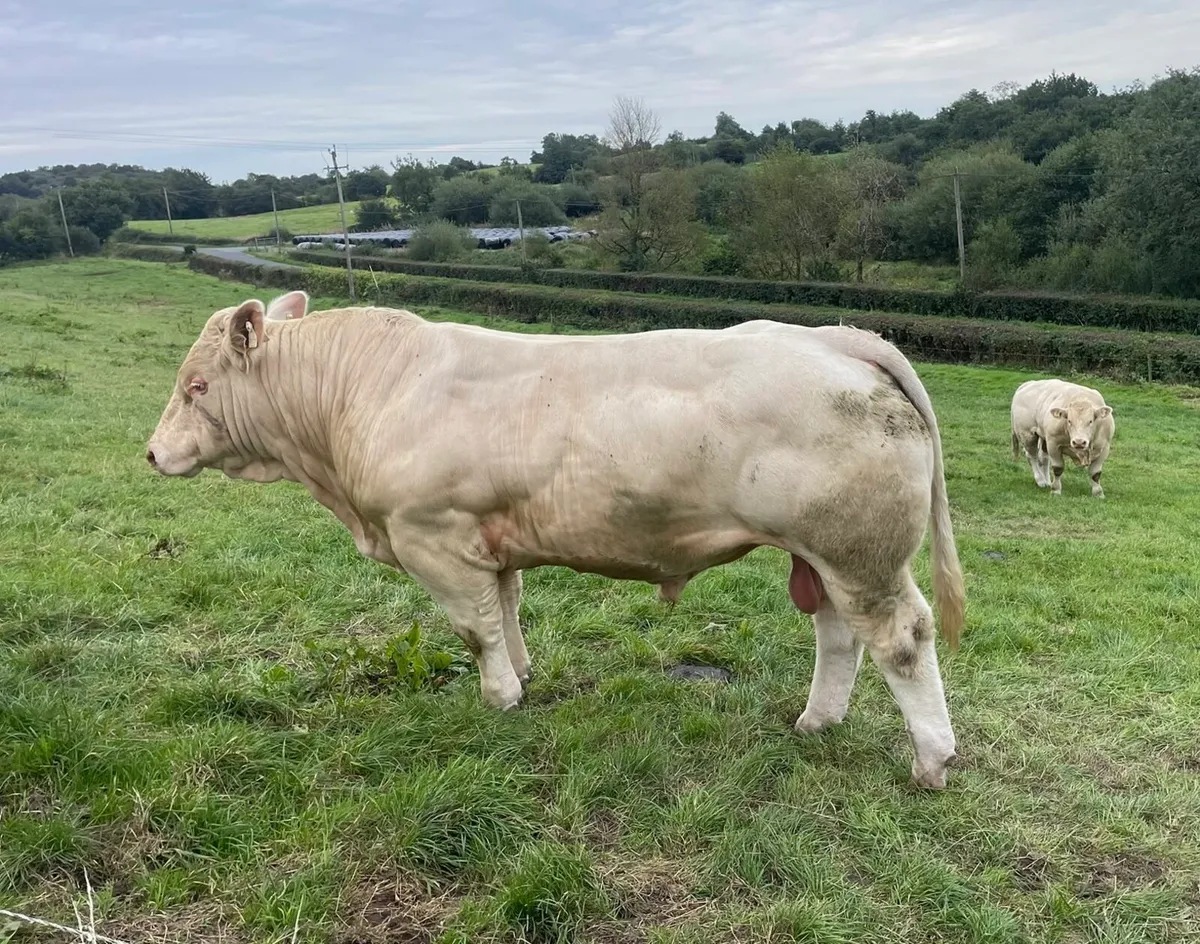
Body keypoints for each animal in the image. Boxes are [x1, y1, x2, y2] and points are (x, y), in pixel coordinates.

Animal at [146, 291, 966, 789]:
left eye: (197, 386)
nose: (152, 454)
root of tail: (835, 337)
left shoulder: (431, 534)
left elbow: (474, 629)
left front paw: (499, 697)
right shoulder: (486, 537)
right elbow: (505, 608)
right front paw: (523, 672)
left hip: (860, 551)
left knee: (900, 639)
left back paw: (932, 758)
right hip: (825, 554)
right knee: (839, 635)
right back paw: (817, 721)